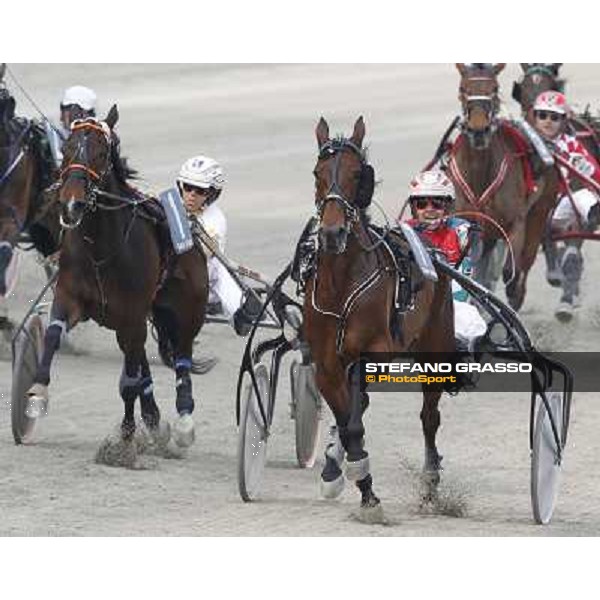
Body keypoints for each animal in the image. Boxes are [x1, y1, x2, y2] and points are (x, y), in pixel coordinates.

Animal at [27, 106, 210, 454]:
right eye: (67, 147)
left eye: (100, 153)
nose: (71, 203)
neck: (101, 247)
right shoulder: (70, 296)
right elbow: (53, 335)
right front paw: (36, 394)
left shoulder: (132, 314)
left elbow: (129, 383)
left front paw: (125, 439)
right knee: (141, 364)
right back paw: (153, 419)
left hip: (186, 310)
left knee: (181, 357)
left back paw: (183, 423)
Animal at [302, 117, 458, 520]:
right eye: (317, 173)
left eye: (358, 174)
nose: (332, 233)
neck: (341, 284)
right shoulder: (327, 364)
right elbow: (347, 423)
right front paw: (349, 478)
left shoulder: (368, 353)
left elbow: (355, 423)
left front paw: (368, 495)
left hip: (435, 344)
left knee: (429, 417)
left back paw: (430, 480)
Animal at [452, 63, 560, 312]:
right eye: (463, 88)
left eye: (494, 88)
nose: (478, 130)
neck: (480, 173)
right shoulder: (471, 221)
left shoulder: (515, 222)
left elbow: (511, 270)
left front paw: (512, 293)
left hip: (540, 210)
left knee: (526, 258)